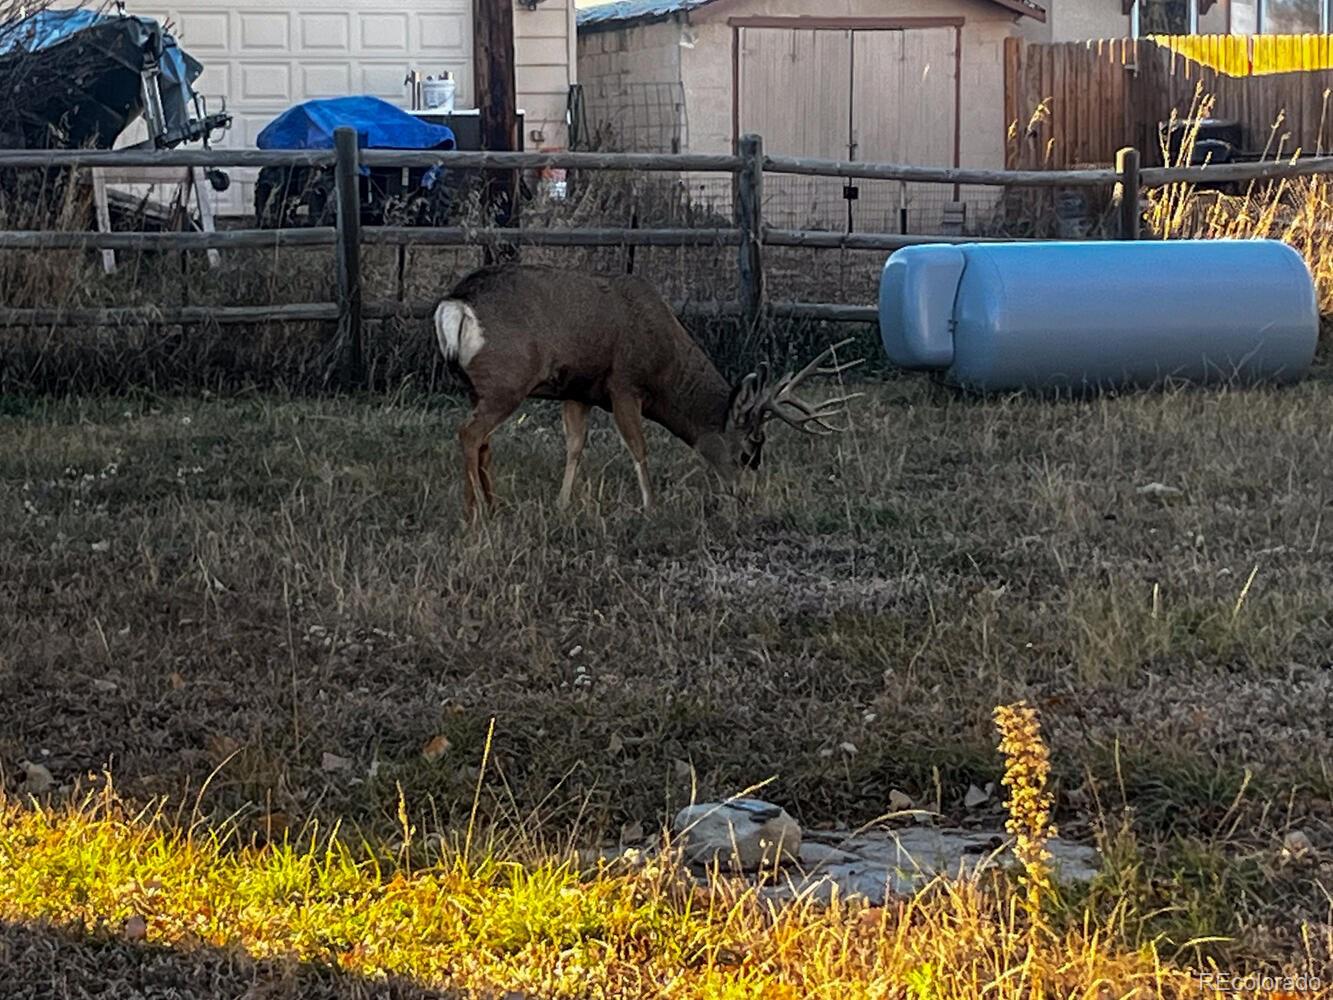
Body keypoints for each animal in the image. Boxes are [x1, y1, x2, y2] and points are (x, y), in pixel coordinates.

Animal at [431, 264, 858, 517]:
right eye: (745, 453)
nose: (744, 496)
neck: (663, 368)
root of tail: (454, 305)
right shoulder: (624, 383)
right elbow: (639, 447)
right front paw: (651, 505)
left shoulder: (578, 390)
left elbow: (575, 447)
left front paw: (563, 503)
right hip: (508, 379)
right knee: (469, 434)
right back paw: (476, 512)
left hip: (481, 387)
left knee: (483, 442)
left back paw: (490, 504)